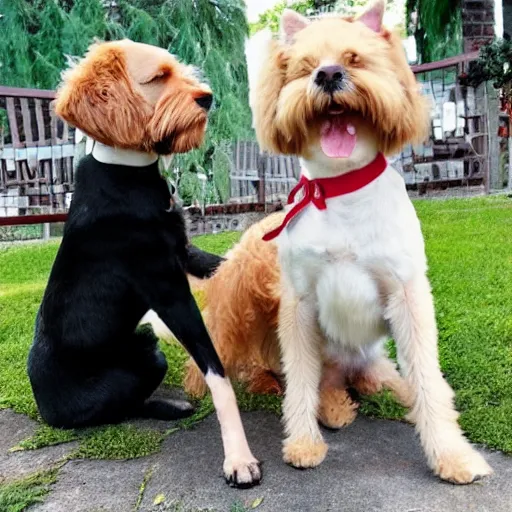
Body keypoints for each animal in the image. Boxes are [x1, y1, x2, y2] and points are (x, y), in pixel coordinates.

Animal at [27, 41, 260, 488]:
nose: (209, 98)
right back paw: (167, 408)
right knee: (118, 409)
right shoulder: (169, 290)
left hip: (149, 347)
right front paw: (238, 457)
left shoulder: (187, 256)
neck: (128, 173)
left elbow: (228, 264)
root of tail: (42, 406)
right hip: (124, 375)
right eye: (157, 78)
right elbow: (216, 371)